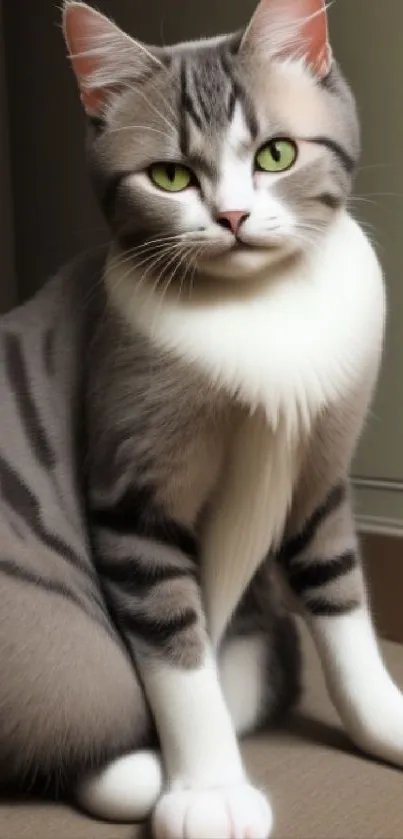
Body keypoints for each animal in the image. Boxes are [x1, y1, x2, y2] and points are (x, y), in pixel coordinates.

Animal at [0, 0, 403, 836]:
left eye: (276, 154)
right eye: (170, 176)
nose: (233, 215)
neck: (260, 306)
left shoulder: (320, 479)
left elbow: (343, 611)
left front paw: (384, 721)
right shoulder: (133, 500)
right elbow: (179, 661)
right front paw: (208, 788)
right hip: (55, 646)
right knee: (88, 703)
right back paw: (130, 770)